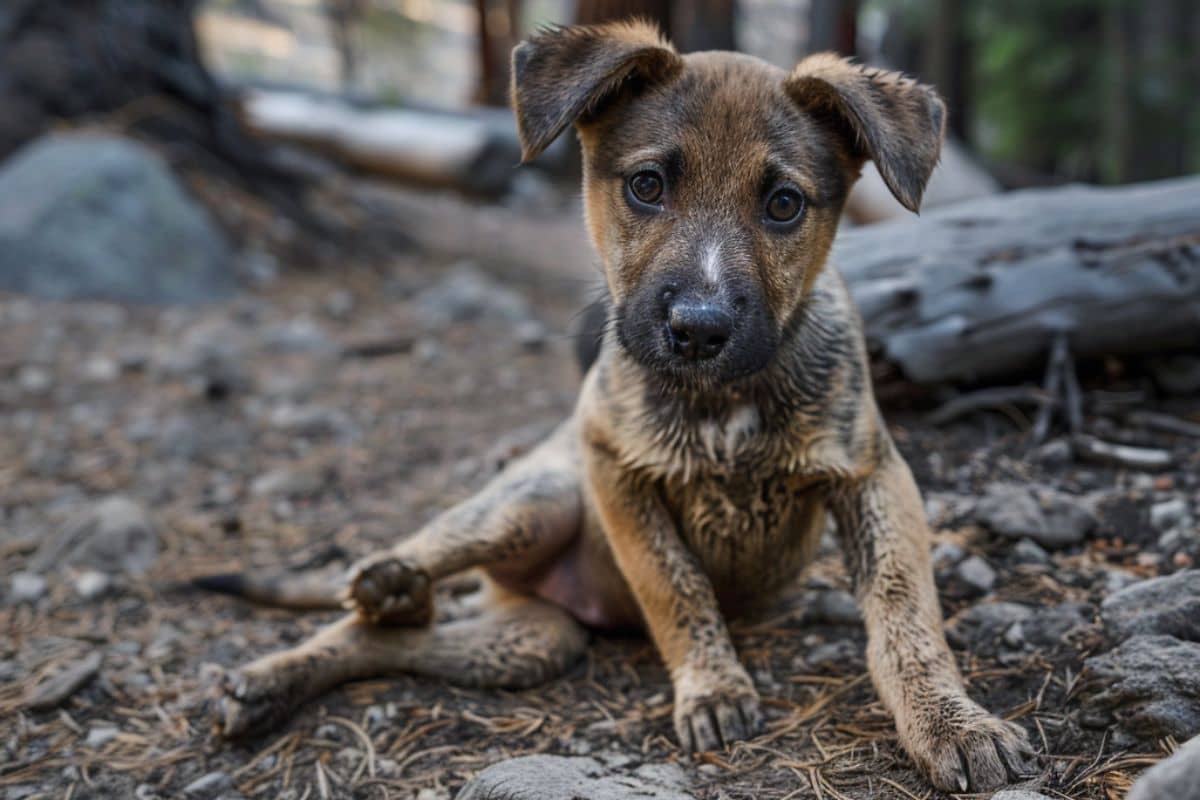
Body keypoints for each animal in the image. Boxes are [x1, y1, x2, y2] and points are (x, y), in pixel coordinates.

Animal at [206, 20, 1032, 796]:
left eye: (783, 204)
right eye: (647, 185)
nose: (698, 329)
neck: (722, 401)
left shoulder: (873, 475)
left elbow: (904, 614)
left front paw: (952, 723)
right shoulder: (616, 475)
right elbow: (676, 586)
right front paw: (713, 689)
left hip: (529, 644)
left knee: (394, 640)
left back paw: (383, 612)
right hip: (530, 502)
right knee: (358, 610)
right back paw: (291, 658)